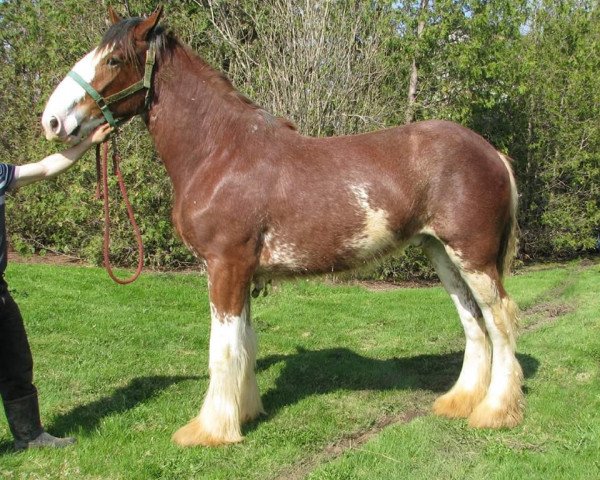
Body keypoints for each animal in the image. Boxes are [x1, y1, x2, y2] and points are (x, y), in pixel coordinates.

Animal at [42, 6, 524, 446]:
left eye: (113, 60)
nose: (53, 121)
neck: (221, 153)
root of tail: (491, 152)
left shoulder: (225, 266)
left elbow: (223, 349)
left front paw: (210, 430)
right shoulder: (241, 272)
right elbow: (246, 344)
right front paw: (245, 413)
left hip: (473, 255)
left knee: (500, 320)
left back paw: (495, 412)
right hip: (441, 252)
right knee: (473, 321)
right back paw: (459, 402)